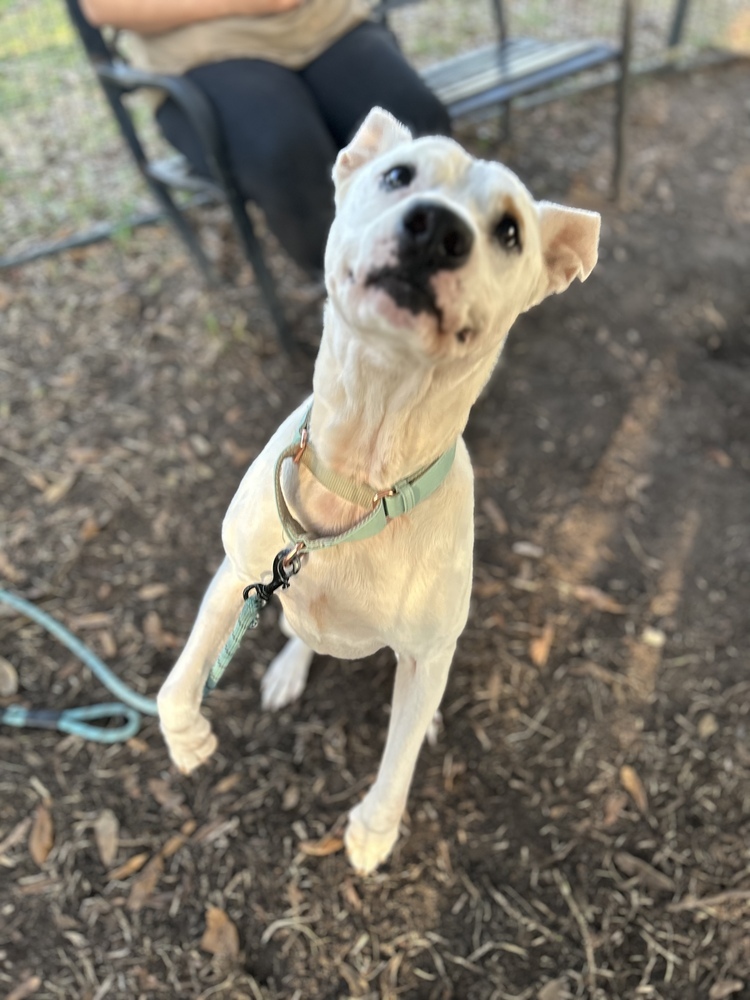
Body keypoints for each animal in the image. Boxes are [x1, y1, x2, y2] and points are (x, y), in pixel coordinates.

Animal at [157, 107, 600, 876]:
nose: (436, 229)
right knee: (294, 630)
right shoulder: (240, 572)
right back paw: (287, 667)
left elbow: (398, 758)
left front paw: (373, 830)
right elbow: (176, 683)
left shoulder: (424, 655)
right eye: (399, 175)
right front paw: (188, 739)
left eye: (510, 230)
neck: (357, 482)